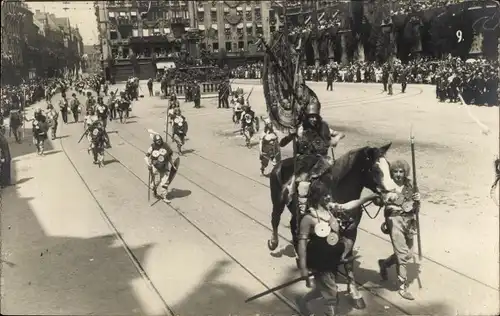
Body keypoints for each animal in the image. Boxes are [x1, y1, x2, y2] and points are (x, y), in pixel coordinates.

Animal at [268, 143, 396, 308]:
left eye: (389, 167)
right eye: (375, 169)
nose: (392, 196)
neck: (338, 192)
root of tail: (281, 163)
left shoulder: (351, 230)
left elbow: (348, 260)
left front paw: (355, 294)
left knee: (294, 228)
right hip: (278, 202)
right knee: (275, 220)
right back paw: (274, 244)